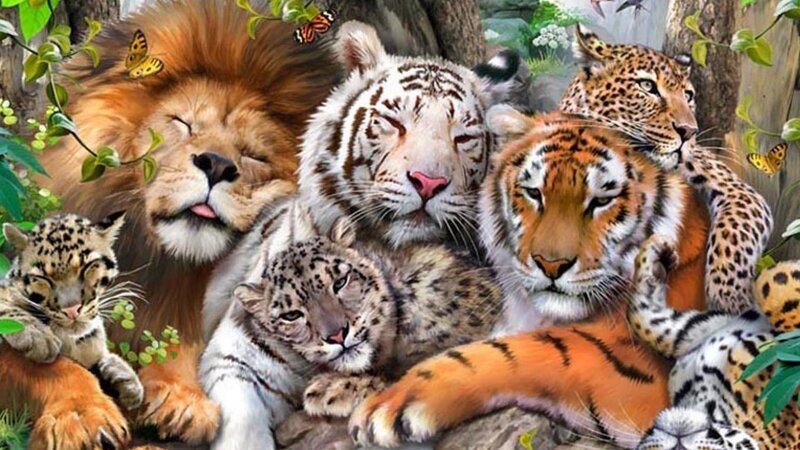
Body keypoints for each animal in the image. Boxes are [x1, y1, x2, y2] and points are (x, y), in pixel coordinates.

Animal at [0, 0, 341, 448]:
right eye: (183, 123)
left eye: (254, 155)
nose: (217, 164)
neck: (160, 261)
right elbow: (46, 362)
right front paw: (82, 415)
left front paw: (181, 397)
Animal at [346, 109, 711, 448]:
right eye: (534, 193)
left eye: (602, 201)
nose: (551, 265)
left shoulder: (637, 370)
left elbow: (530, 349)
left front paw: (387, 406)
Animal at [560, 26, 773, 314]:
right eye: (647, 86)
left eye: (688, 96)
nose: (689, 131)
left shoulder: (737, 190)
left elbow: (734, 236)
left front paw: (730, 299)